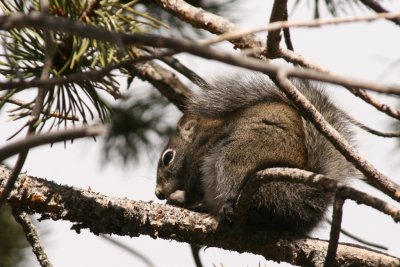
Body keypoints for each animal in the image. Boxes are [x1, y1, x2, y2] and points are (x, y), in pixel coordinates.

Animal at [155, 74, 358, 236]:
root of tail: (305, 197)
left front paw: (180, 197)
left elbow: (193, 191)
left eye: (168, 157)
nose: (158, 193)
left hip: (238, 157)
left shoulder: (200, 156)